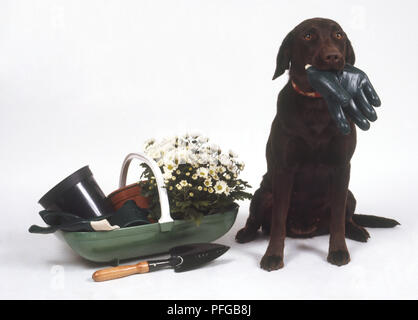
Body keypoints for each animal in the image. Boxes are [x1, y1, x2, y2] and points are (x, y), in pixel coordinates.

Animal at [235, 17, 398, 272]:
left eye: (339, 35)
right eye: (308, 36)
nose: (333, 56)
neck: (318, 106)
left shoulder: (341, 168)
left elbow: (338, 220)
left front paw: (339, 251)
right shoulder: (285, 170)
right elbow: (278, 220)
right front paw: (273, 255)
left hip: (349, 194)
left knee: (347, 218)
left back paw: (358, 231)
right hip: (262, 194)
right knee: (256, 220)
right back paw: (246, 233)